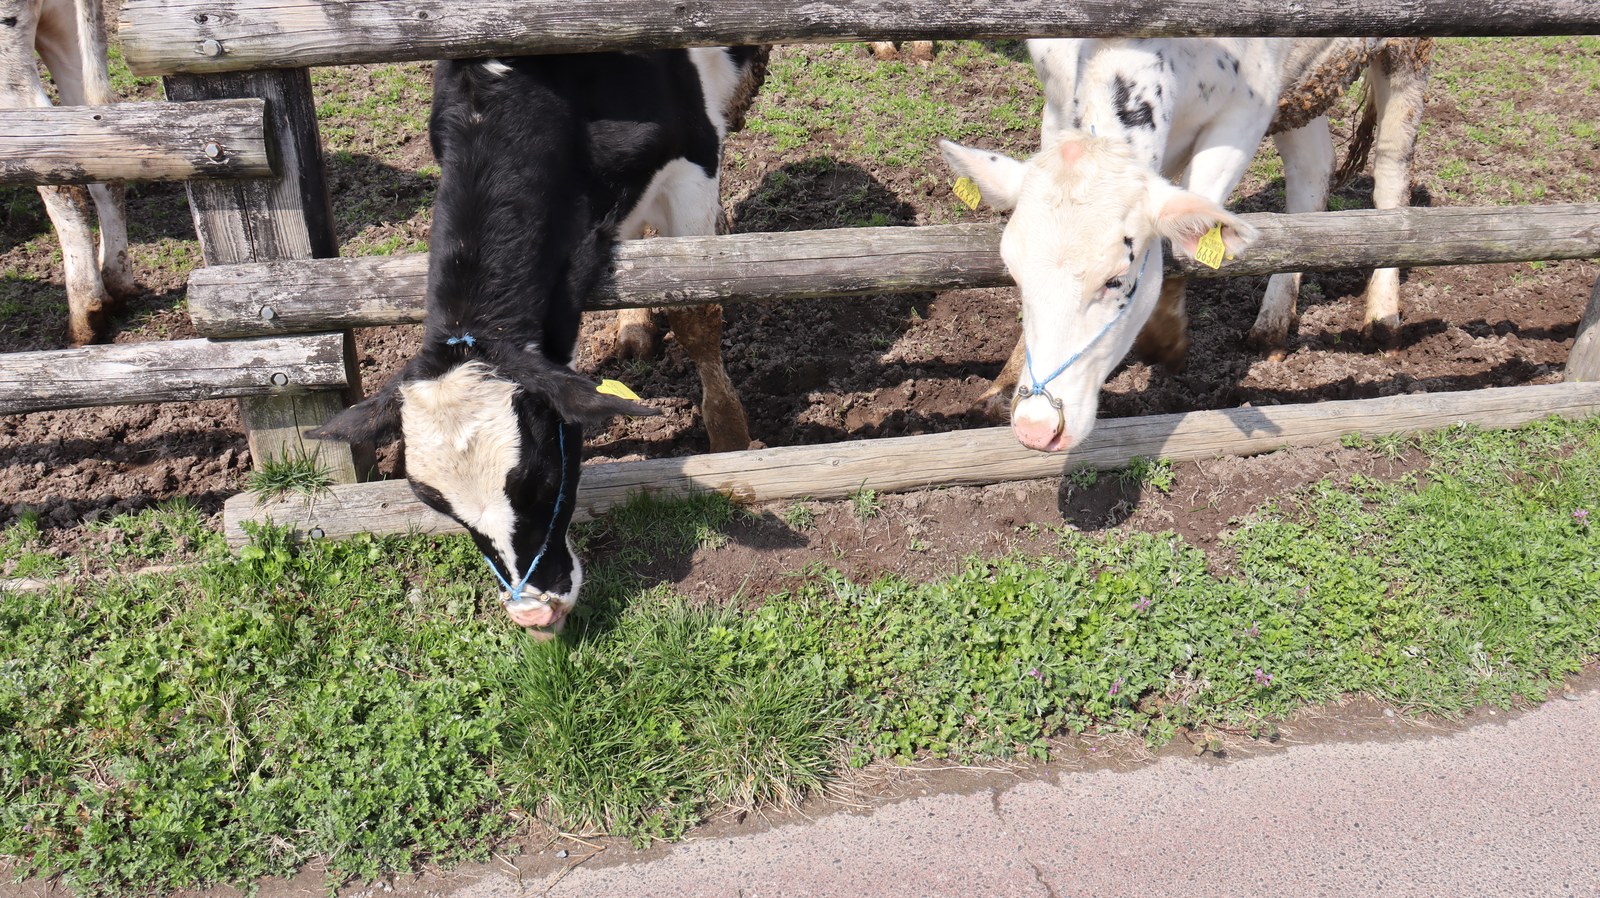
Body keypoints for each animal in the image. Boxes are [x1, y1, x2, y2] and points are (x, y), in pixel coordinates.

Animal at [307, 48, 769, 634]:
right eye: (441, 508)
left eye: (544, 476)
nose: (532, 614)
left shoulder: (694, 154)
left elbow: (698, 309)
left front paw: (729, 438)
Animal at [941, 38, 1431, 451]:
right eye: (1015, 273)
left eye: (1116, 280)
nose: (1036, 427)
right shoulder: (1058, 100)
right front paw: (1005, 384)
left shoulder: (1247, 109)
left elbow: (1195, 218)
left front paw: (1166, 337)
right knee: (1310, 173)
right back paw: (1273, 324)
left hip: (1406, 53)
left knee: (1391, 170)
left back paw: (1382, 317)